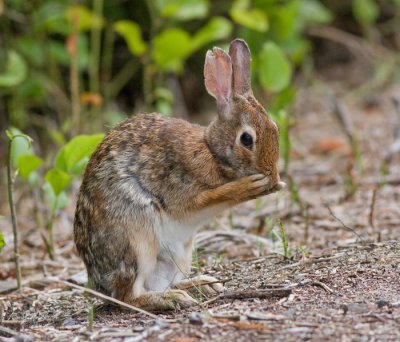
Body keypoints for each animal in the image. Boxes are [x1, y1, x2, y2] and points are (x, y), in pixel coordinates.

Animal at [74, 38, 284, 312]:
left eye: (275, 128)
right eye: (247, 139)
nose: (273, 173)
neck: (212, 152)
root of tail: (98, 284)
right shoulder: (181, 189)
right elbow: (211, 198)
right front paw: (252, 186)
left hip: (180, 254)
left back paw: (203, 284)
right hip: (137, 240)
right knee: (128, 296)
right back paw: (172, 299)